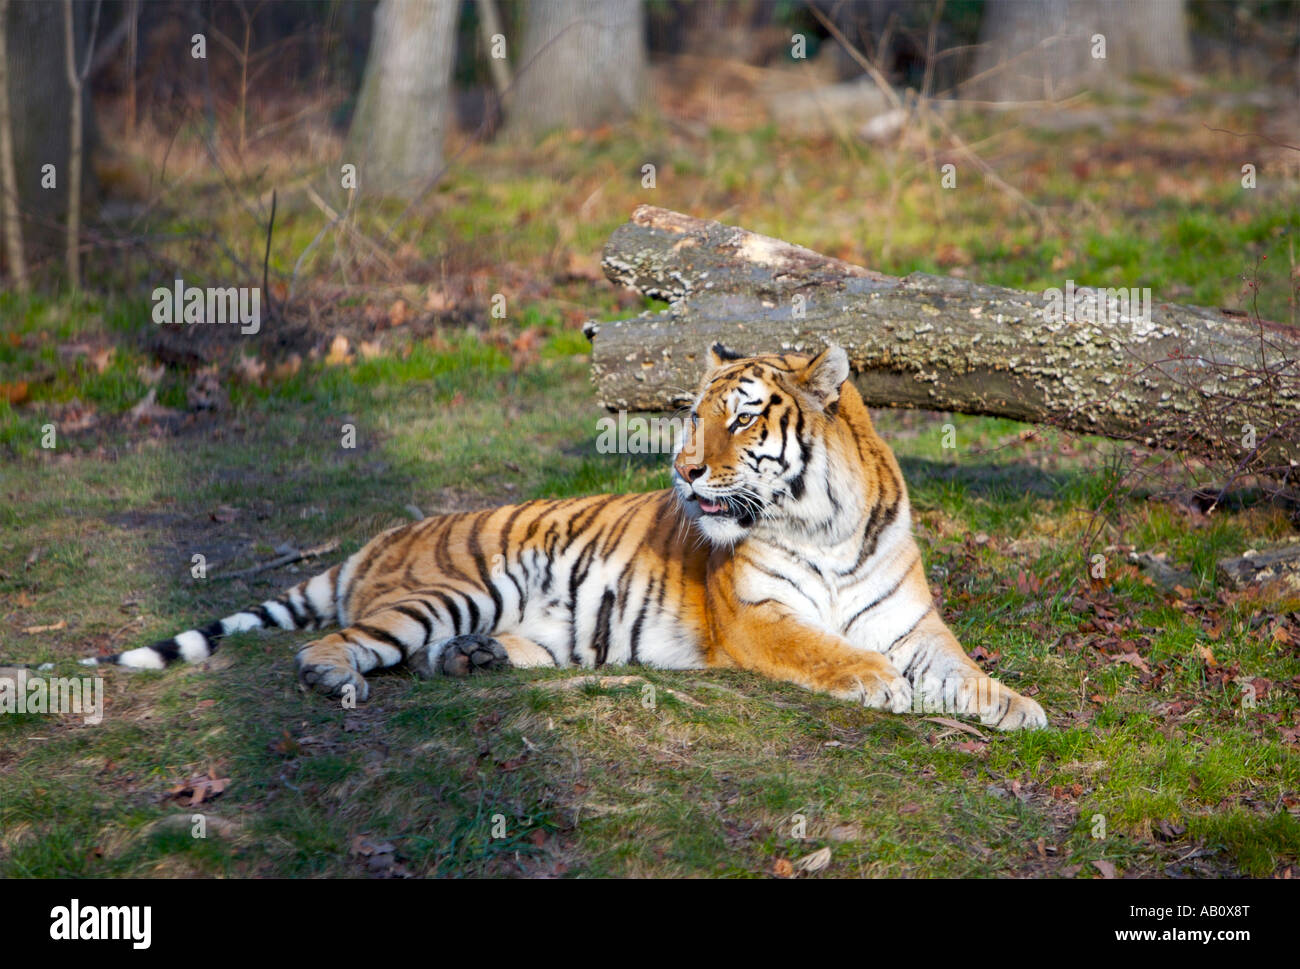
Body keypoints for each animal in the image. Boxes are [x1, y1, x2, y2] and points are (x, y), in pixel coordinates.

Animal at [89, 343, 1045, 728]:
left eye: (740, 420)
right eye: (693, 417)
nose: (684, 471)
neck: (828, 523)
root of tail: (381, 538)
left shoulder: (915, 623)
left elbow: (962, 668)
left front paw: (1018, 706)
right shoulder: (757, 619)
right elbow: (829, 651)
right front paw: (880, 682)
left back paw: (472, 660)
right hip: (454, 586)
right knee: (329, 643)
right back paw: (341, 681)